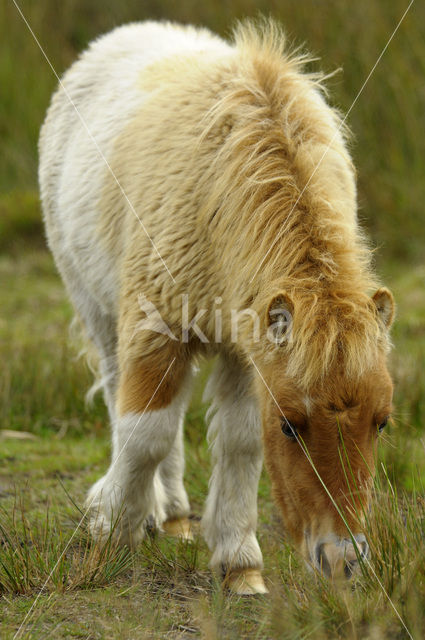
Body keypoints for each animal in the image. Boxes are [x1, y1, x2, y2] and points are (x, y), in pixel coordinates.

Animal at [39, 20, 394, 596]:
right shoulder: (155, 326)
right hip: (98, 310)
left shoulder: (246, 351)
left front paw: (238, 564)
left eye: (381, 423)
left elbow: (240, 442)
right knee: (122, 399)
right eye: (291, 427)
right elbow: (144, 435)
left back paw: (175, 517)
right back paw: (149, 509)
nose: (341, 558)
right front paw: (108, 534)